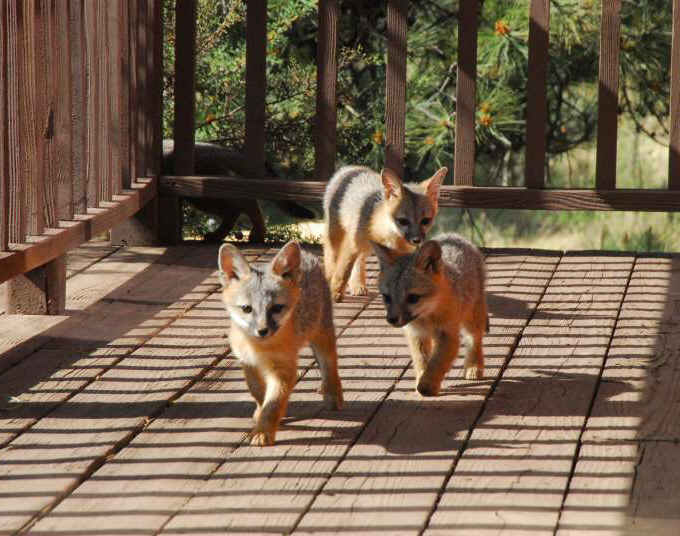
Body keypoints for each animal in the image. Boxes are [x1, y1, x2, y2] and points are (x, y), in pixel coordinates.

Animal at [218, 241, 343, 446]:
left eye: (276, 308)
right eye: (246, 309)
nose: (262, 331)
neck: (259, 348)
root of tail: (307, 254)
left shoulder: (283, 370)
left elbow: (274, 402)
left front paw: (264, 430)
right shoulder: (248, 362)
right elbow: (258, 392)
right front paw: (261, 413)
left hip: (321, 334)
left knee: (329, 365)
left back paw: (333, 393)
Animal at [323, 165, 447, 302]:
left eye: (426, 221)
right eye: (403, 221)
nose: (417, 240)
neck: (388, 235)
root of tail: (351, 167)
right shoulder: (352, 244)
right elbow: (343, 271)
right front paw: (335, 292)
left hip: (366, 248)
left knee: (359, 260)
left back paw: (357, 284)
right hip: (337, 239)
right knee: (331, 258)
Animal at [372, 232, 489, 396]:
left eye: (413, 298)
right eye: (386, 297)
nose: (391, 319)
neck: (426, 318)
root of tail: (454, 235)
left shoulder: (448, 334)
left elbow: (437, 362)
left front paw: (427, 385)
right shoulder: (417, 335)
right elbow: (422, 360)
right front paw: (422, 378)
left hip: (472, 318)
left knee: (474, 340)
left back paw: (474, 366)